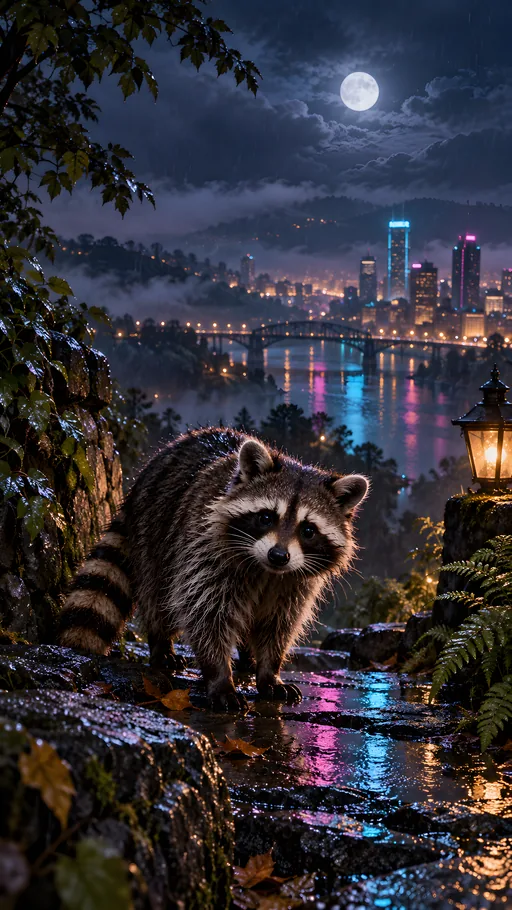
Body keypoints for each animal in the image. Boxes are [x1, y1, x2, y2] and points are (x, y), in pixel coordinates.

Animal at [60, 428, 368, 710]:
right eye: (266, 517)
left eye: (308, 530)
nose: (279, 555)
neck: (266, 570)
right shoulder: (203, 550)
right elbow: (206, 613)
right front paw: (219, 676)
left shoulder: (293, 583)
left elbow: (279, 624)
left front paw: (269, 670)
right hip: (153, 531)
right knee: (157, 594)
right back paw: (161, 644)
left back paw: (248, 657)